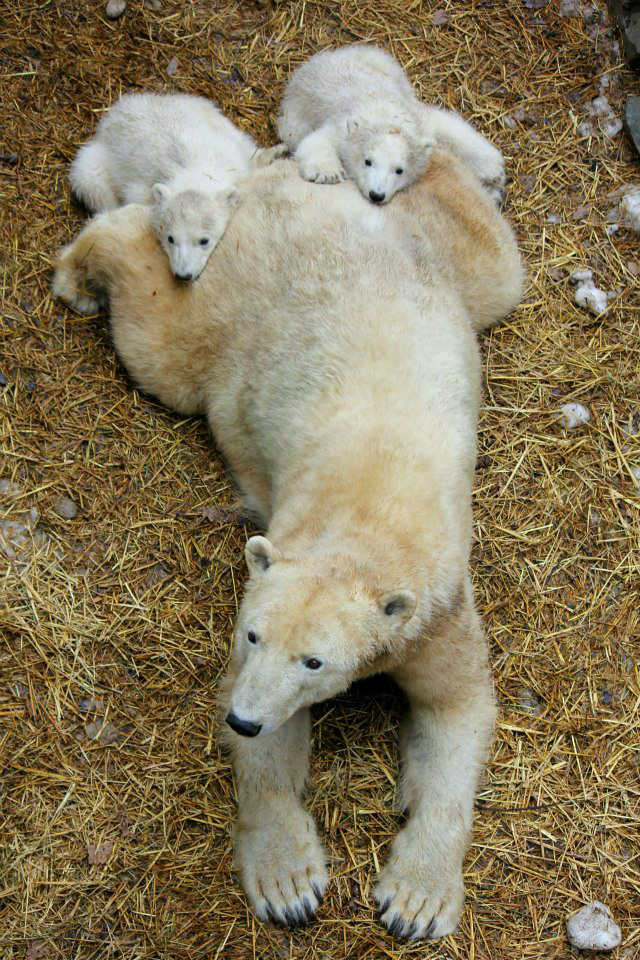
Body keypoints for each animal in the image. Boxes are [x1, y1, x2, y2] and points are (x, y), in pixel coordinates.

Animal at [52, 154, 524, 940]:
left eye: (315, 660)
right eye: (252, 635)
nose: (242, 717)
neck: (364, 525)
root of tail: (289, 186)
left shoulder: (438, 610)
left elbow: (459, 709)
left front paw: (417, 900)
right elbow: (266, 749)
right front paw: (289, 883)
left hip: (440, 265)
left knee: (496, 263)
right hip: (219, 294)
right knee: (153, 313)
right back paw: (78, 275)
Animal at [68, 93, 282, 282]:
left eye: (204, 240)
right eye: (170, 238)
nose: (183, 276)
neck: (193, 170)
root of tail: (114, 112)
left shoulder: (233, 158)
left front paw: (275, 152)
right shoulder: (141, 191)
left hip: (201, 108)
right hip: (95, 159)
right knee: (93, 183)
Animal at [278, 44, 508, 205]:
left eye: (399, 170)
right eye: (367, 161)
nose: (376, 195)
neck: (384, 113)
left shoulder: (416, 119)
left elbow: (446, 126)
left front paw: (492, 169)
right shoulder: (344, 123)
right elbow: (318, 139)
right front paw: (328, 173)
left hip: (383, 64)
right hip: (295, 112)